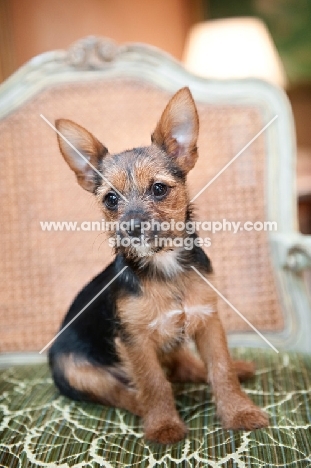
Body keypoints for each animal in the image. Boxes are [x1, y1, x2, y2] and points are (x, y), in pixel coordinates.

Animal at [48, 87, 268, 442]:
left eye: (159, 189)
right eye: (111, 199)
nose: (132, 227)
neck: (164, 266)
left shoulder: (207, 321)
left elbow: (220, 369)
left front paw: (239, 411)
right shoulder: (135, 341)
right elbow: (153, 384)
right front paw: (164, 425)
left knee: (183, 365)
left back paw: (235, 368)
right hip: (77, 371)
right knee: (127, 393)